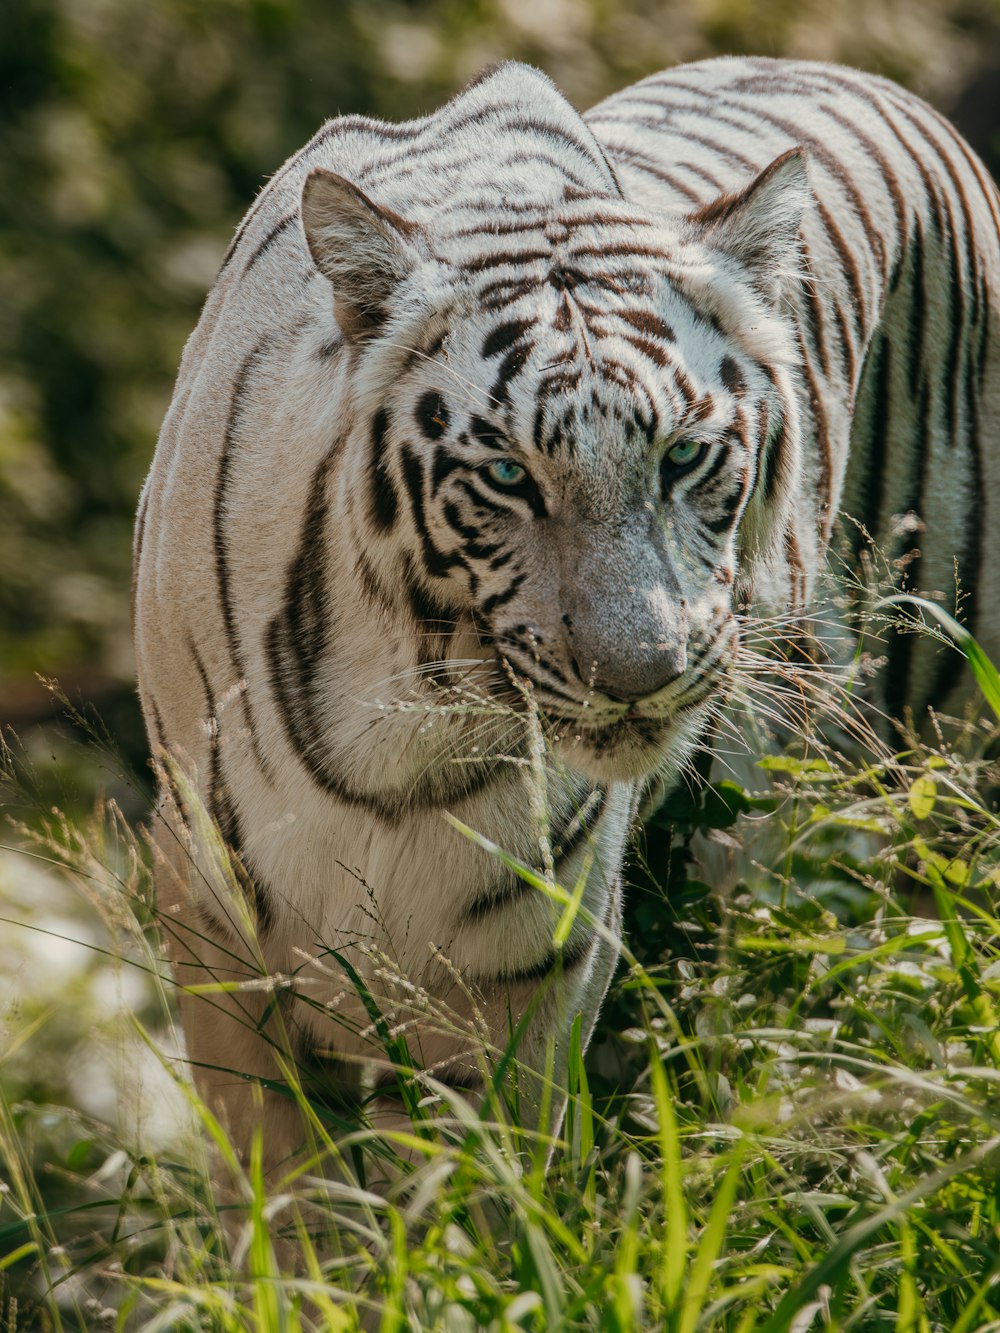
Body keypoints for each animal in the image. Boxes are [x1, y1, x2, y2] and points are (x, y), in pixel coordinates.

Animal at [133, 57, 1000, 1183]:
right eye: (507, 474)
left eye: (684, 456)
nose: (640, 675)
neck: (403, 731)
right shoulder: (219, 936)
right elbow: (291, 1198)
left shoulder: (524, 983)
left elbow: (498, 1206)